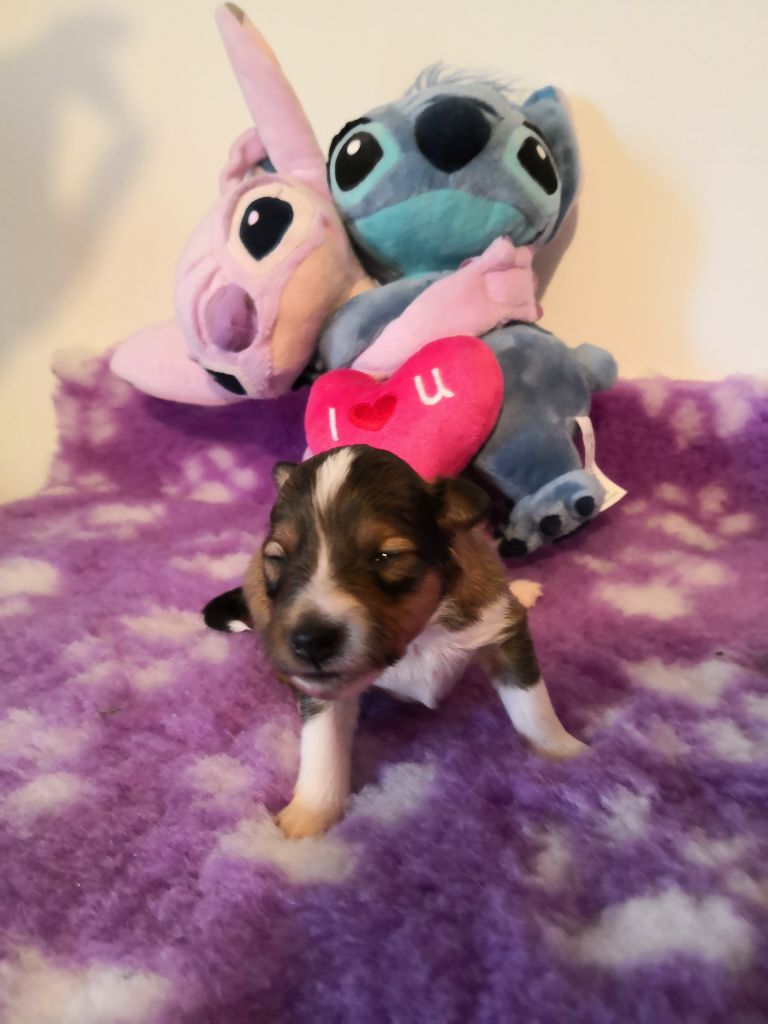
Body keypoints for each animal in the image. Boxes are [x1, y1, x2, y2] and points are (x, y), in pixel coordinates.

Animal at [204, 444, 585, 839]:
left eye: (385, 556)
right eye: (278, 558)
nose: (310, 642)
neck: (417, 639)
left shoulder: (501, 630)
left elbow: (532, 707)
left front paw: (568, 755)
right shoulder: (321, 688)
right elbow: (322, 744)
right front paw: (306, 820)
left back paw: (521, 589)